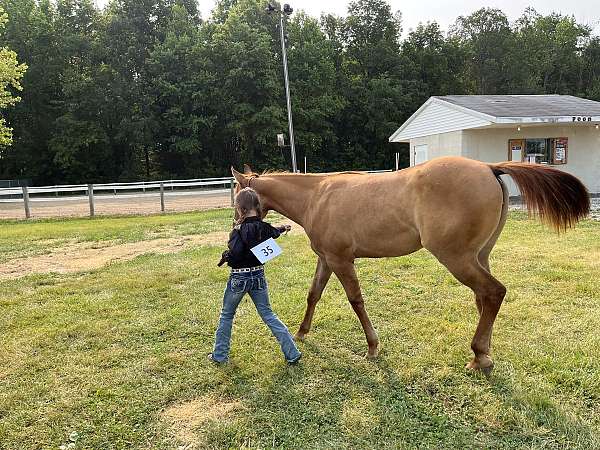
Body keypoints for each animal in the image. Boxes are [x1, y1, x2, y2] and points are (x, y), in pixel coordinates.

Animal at [231, 156, 592, 374]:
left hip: (456, 258)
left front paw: (372, 347)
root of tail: (489, 167)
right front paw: (302, 332)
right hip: (479, 257)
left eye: (236, 194)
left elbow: (356, 301)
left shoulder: (341, 259)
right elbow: (313, 295)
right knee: (485, 299)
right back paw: (484, 354)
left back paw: (478, 355)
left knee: (493, 293)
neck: (317, 196)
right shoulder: (327, 259)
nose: (237, 225)